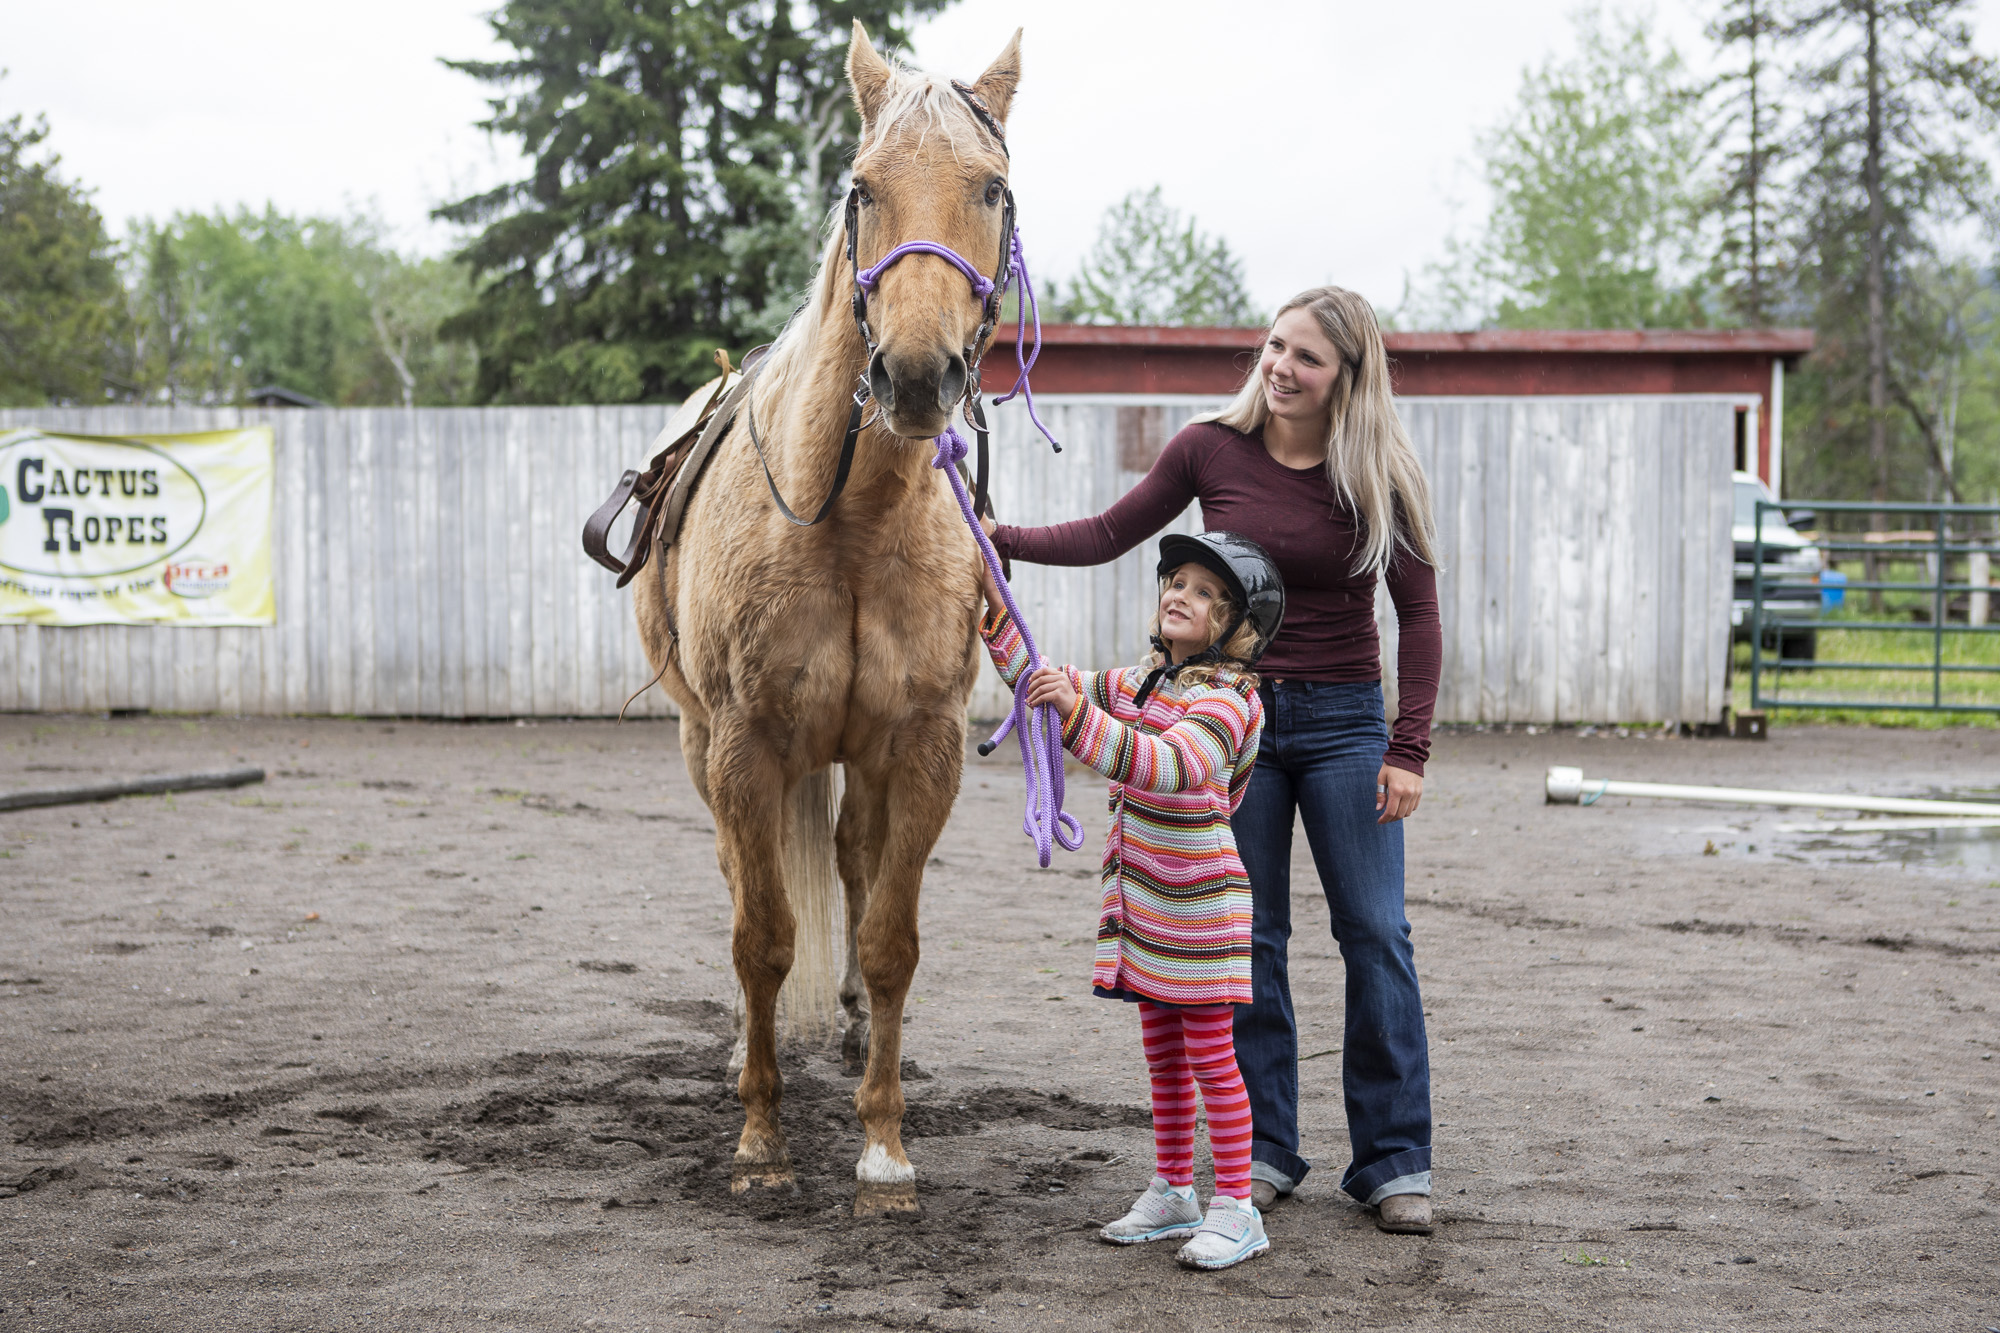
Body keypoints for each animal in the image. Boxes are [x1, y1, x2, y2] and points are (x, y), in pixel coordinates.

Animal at [634, 24, 1024, 1216]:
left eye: (990, 189)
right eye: (861, 189)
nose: (916, 374)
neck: (849, 521)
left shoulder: (922, 748)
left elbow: (890, 935)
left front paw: (883, 1146)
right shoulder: (745, 746)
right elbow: (762, 937)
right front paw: (761, 1140)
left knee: (851, 864)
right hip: (699, 741)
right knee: (743, 877)